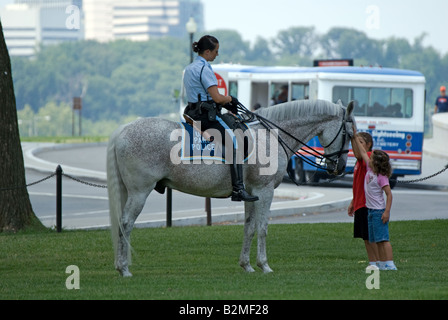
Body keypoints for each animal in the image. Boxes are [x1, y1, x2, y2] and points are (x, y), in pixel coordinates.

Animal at [106, 99, 354, 276]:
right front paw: (264, 265)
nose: (341, 166)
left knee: (122, 225)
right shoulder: (265, 192)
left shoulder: (252, 194)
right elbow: (262, 228)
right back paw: (124, 268)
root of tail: (123, 130)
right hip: (140, 192)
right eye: (349, 134)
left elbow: (249, 228)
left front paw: (247, 265)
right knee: (126, 223)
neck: (271, 136)